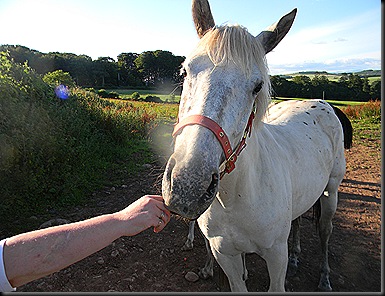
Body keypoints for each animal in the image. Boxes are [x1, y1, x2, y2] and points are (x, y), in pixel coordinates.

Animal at [162, 0, 352, 292]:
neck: (236, 197)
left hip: (331, 191)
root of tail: (320, 103)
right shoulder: (226, 255)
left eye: (258, 86)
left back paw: (324, 278)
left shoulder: (275, 256)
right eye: (185, 71)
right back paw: (296, 257)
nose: (188, 186)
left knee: (325, 231)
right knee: (298, 220)